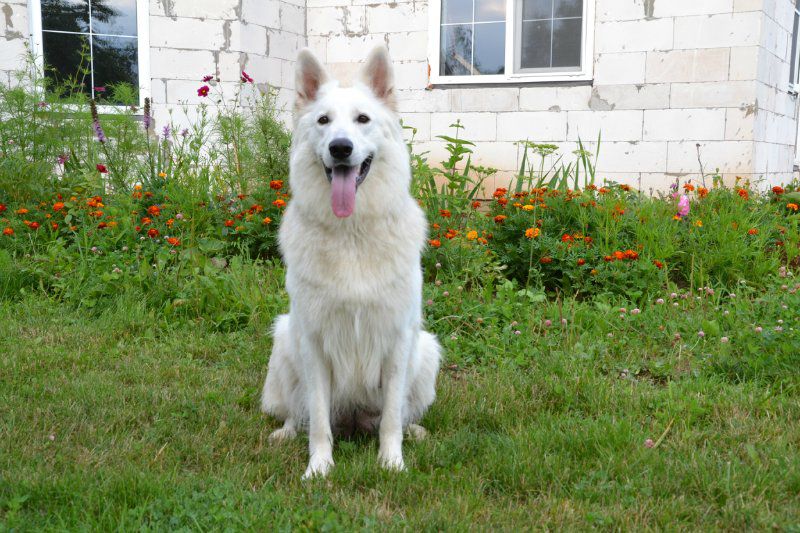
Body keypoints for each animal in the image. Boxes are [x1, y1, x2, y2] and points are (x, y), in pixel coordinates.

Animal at [260, 45, 444, 478]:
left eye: (363, 119)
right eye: (323, 121)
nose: (340, 148)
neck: (352, 234)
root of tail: (355, 419)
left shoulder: (398, 340)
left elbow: (392, 417)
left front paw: (391, 462)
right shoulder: (313, 341)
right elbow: (318, 421)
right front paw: (319, 466)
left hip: (426, 350)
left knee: (402, 414)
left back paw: (415, 433)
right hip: (285, 338)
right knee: (298, 413)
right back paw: (285, 433)